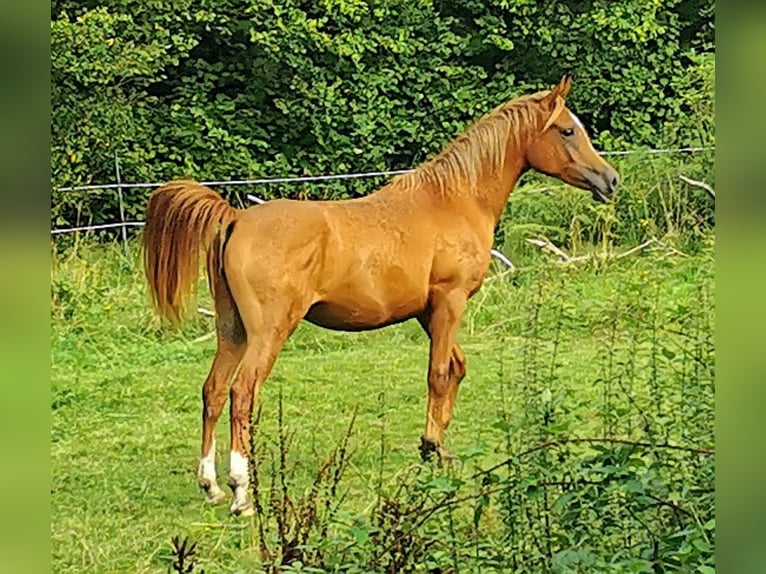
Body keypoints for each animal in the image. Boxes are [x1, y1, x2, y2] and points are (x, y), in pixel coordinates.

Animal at [142, 76, 616, 516]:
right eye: (567, 130)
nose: (610, 179)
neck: (454, 200)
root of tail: (237, 218)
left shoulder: (428, 312)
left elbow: (456, 369)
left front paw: (438, 449)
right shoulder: (450, 301)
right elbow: (438, 374)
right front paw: (432, 447)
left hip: (233, 330)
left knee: (214, 391)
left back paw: (211, 485)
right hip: (268, 333)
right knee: (242, 394)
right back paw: (242, 492)